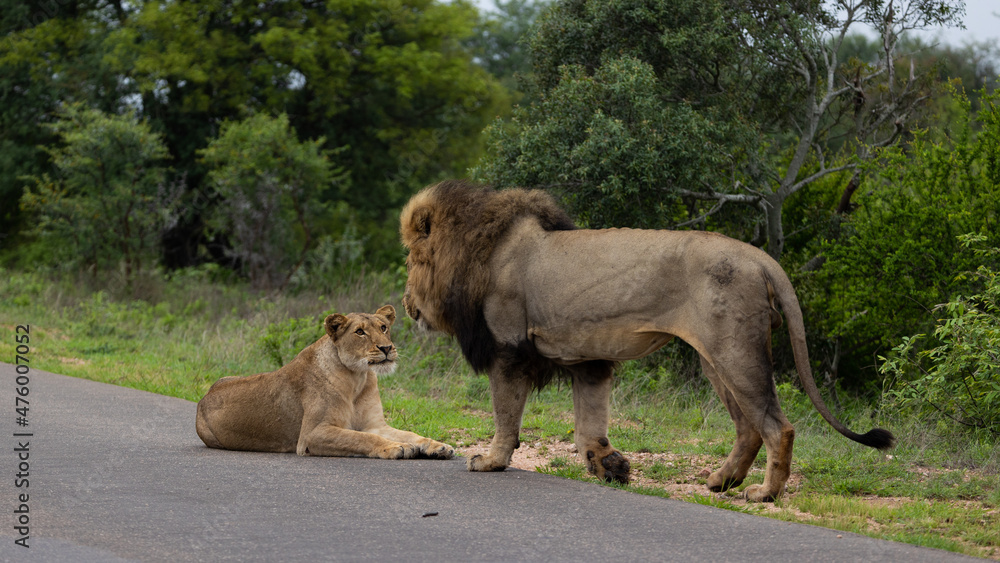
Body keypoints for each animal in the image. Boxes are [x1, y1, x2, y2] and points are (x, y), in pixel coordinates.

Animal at [195, 305, 455, 461]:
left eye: (383, 328)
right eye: (359, 332)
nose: (386, 348)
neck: (357, 377)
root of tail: (204, 397)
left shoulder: (374, 424)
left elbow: (409, 433)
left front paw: (437, 446)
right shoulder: (311, 435)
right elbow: (362, 438)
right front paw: (394, 447)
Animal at [399, 180, 894, 502]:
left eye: (410, 260)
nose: (404, 301)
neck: (478, 253)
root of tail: (760, 258)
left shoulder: (509, 350)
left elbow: (505, 415)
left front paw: (491, 461)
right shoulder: (586, 359)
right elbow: (589, 425)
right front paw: (609, 466)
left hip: (733, 352)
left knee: (778, 426)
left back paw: (764, 493)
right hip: (716, 359)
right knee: (749, 427)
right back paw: (721, 482)